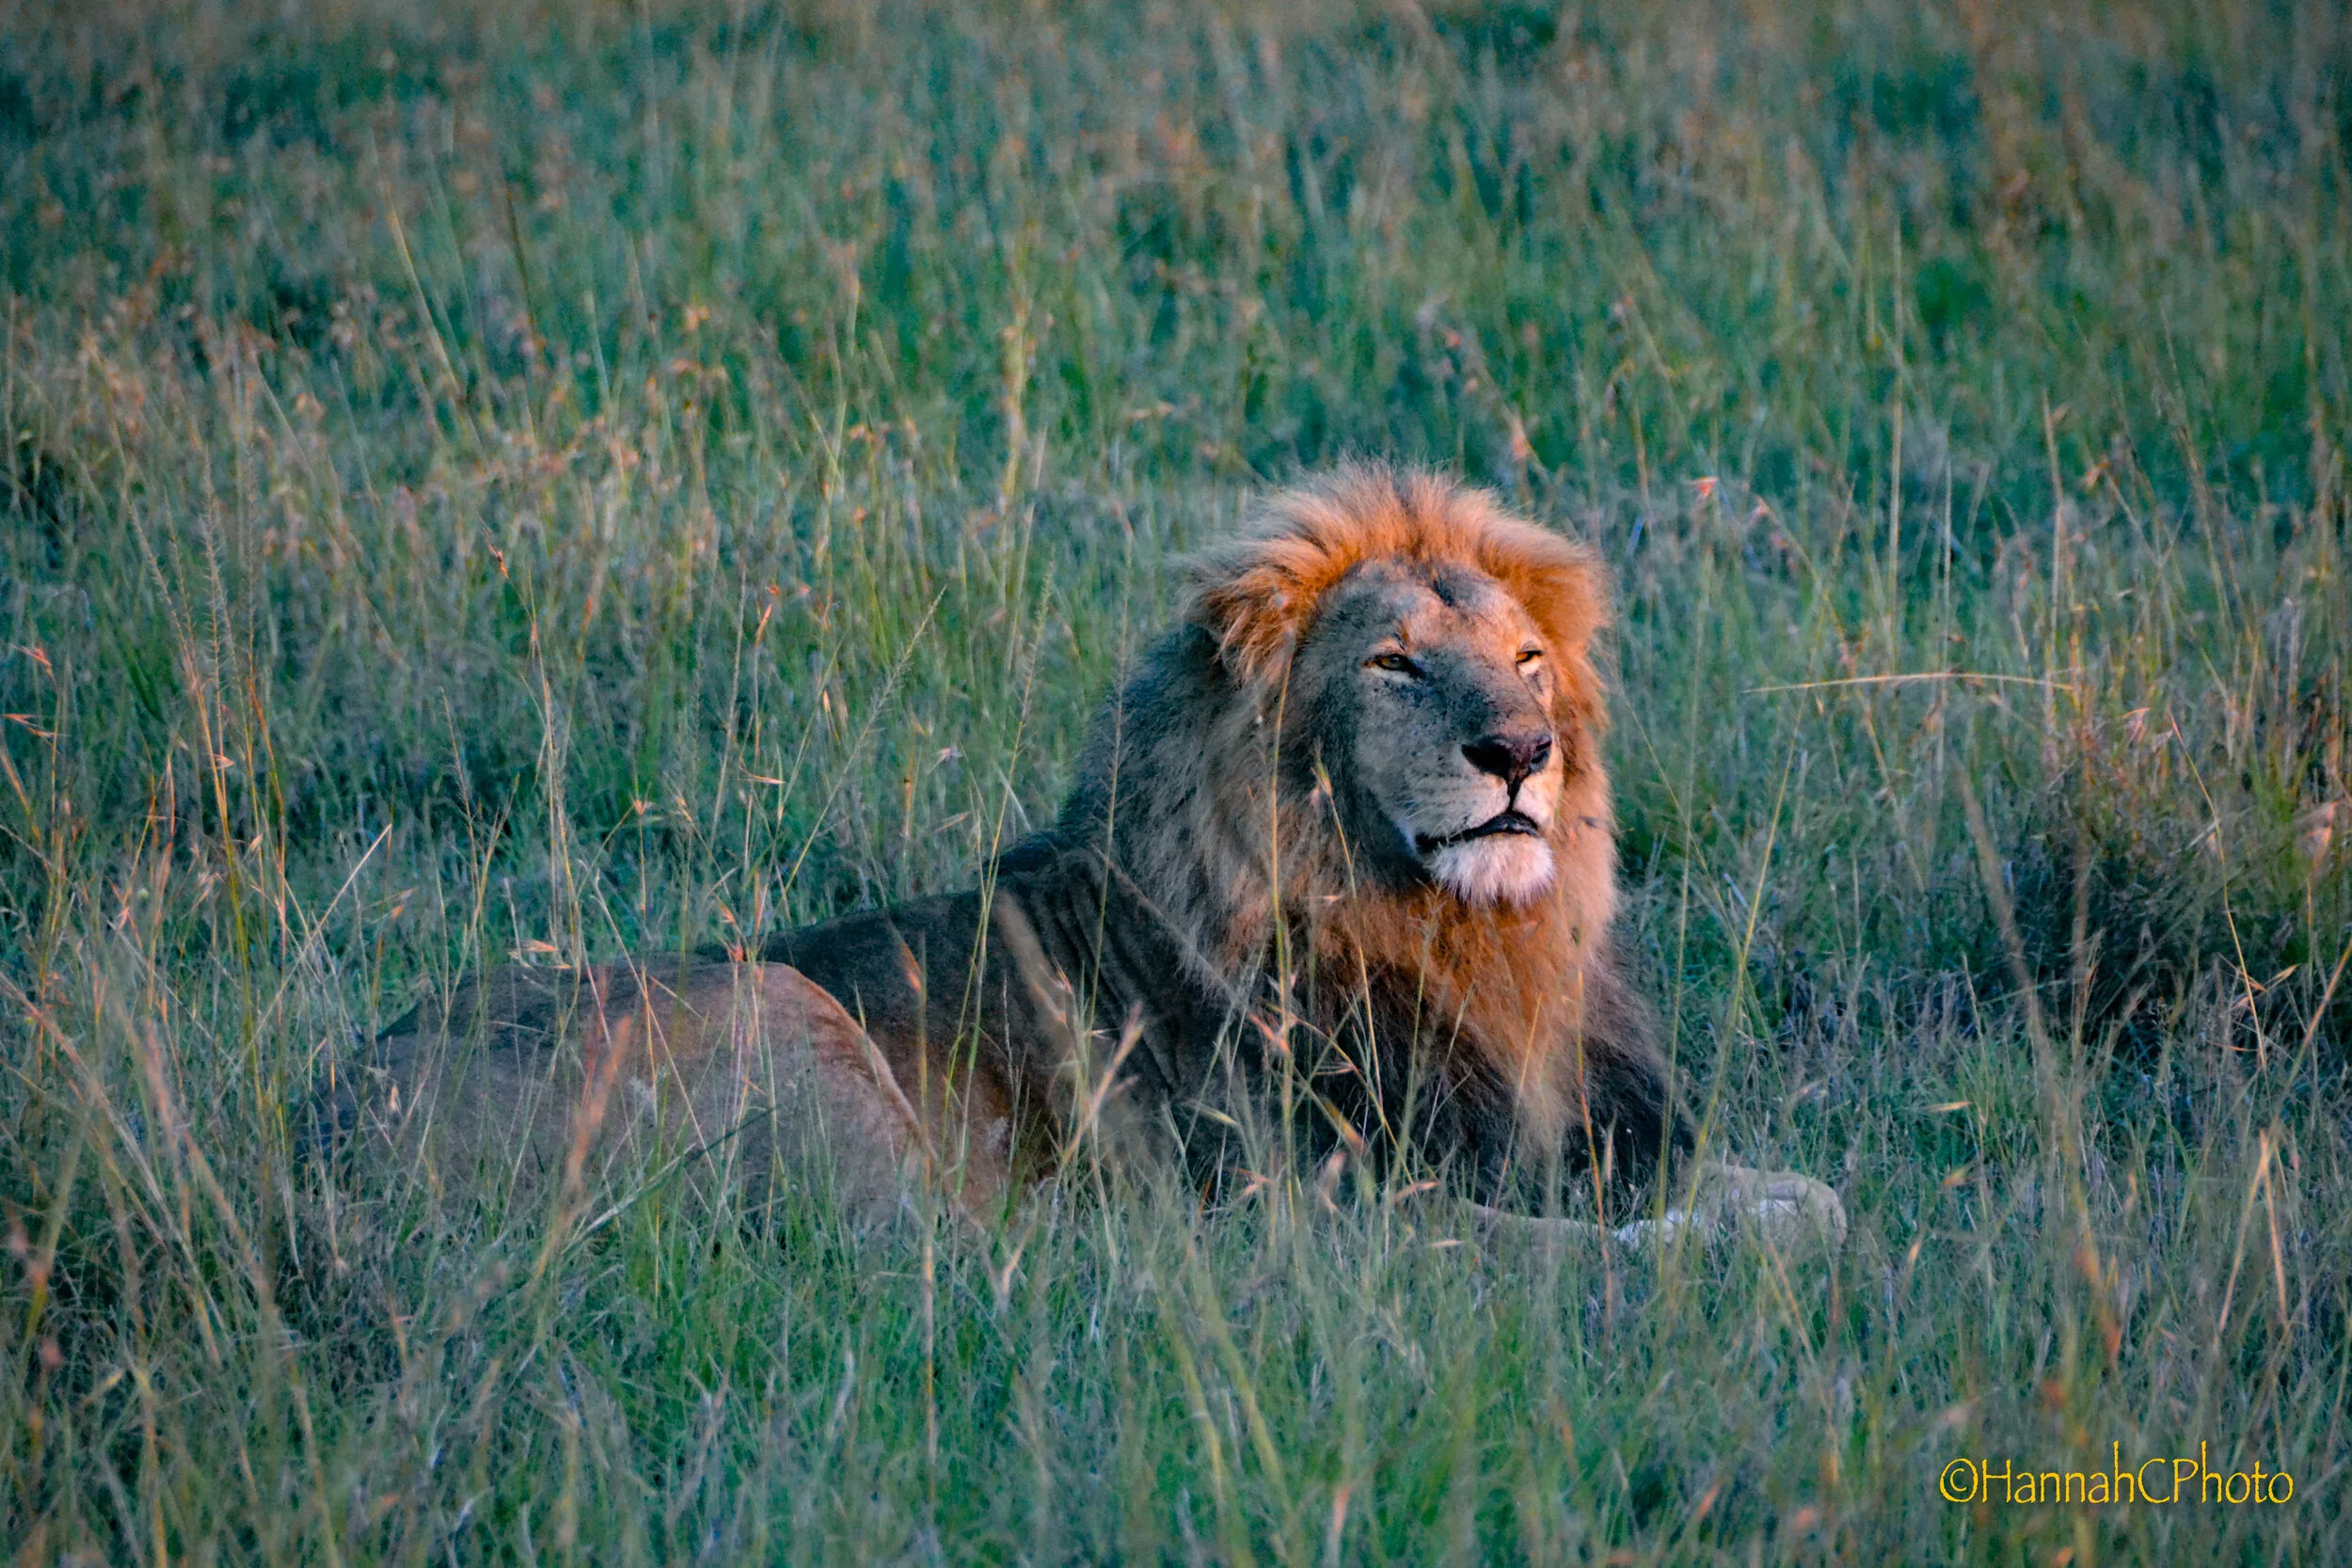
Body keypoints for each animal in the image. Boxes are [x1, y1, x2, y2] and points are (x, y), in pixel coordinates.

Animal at [326, 466, 1842, 1253]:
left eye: (1527, 659)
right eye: (1396, 665)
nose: (1521, 750)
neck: (1460, 936)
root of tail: (318, 1140)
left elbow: (1782, 1186)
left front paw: (1783, 1203)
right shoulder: (1320, 1208)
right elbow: (1564, 1248)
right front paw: (1725, 1243)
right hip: (779, 1015)